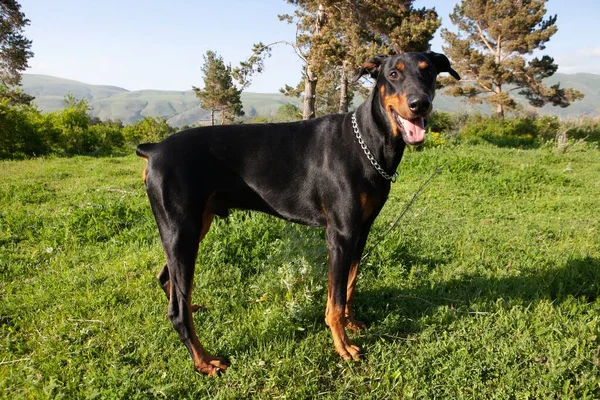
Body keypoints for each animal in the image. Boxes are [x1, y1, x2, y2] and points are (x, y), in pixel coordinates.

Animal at [137, 52, 460, 376]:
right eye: (393, 73)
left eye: (429, 71)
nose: (420, 103)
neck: (368, 143)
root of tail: (154, 149)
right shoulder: (340, 234)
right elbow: (335, 300)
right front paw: (343, 346)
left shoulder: (362, 230)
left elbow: (350, 285)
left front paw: (352, 323)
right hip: (182, 231)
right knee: (176, 309)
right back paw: (204, 360)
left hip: (193, 227)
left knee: (167, 281)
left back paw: (194, 311)